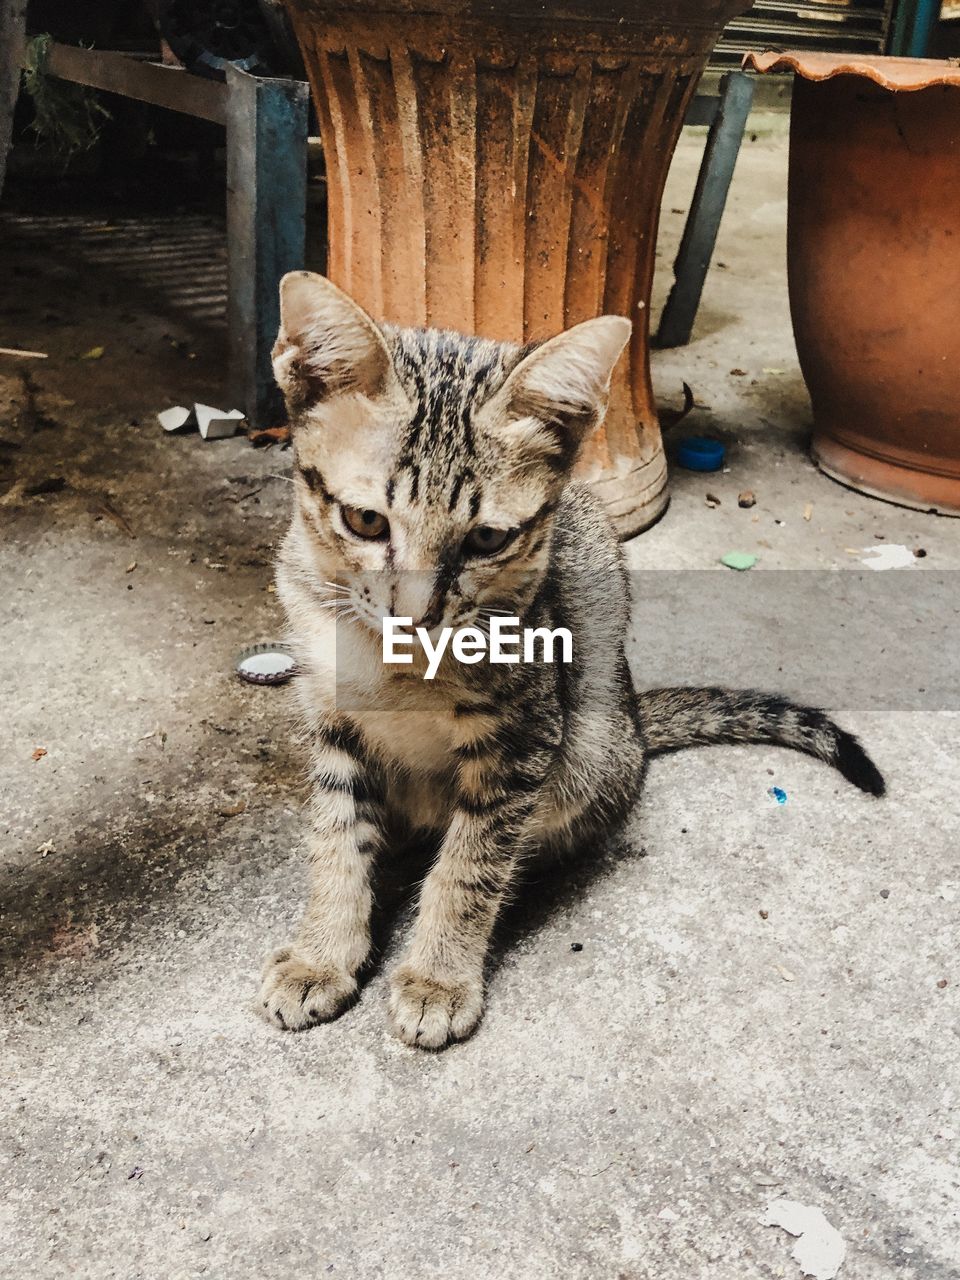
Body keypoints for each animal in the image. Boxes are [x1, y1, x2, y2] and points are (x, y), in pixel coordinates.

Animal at [257, 270, 885, 1049]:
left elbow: (473, 862)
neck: (391, 662)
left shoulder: (523, 737)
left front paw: (439, 975)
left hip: (588, 750)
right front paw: (323, 952)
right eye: (365, 520)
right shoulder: (333, 722)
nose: (417, 615)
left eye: (487, 540)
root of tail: (636, 726)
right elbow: (337, 839)